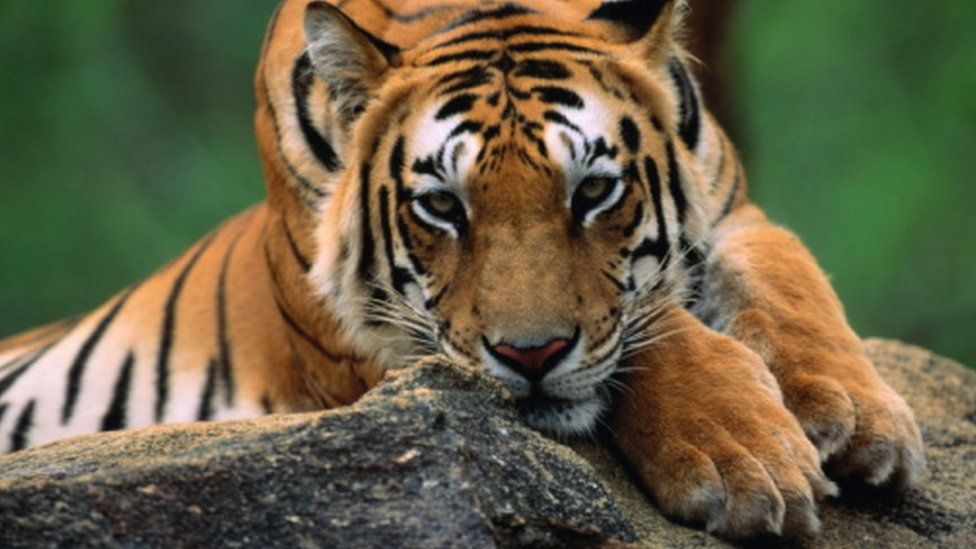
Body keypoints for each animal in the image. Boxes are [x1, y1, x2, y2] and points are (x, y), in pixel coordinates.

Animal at [0, 0, 925, 540]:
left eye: (593, 190)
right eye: (442, 206)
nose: (529, 357)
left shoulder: (733, 210)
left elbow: (792, 280)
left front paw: (860, 418)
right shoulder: (368, 342)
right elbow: (654, 330)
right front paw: (746, 460)